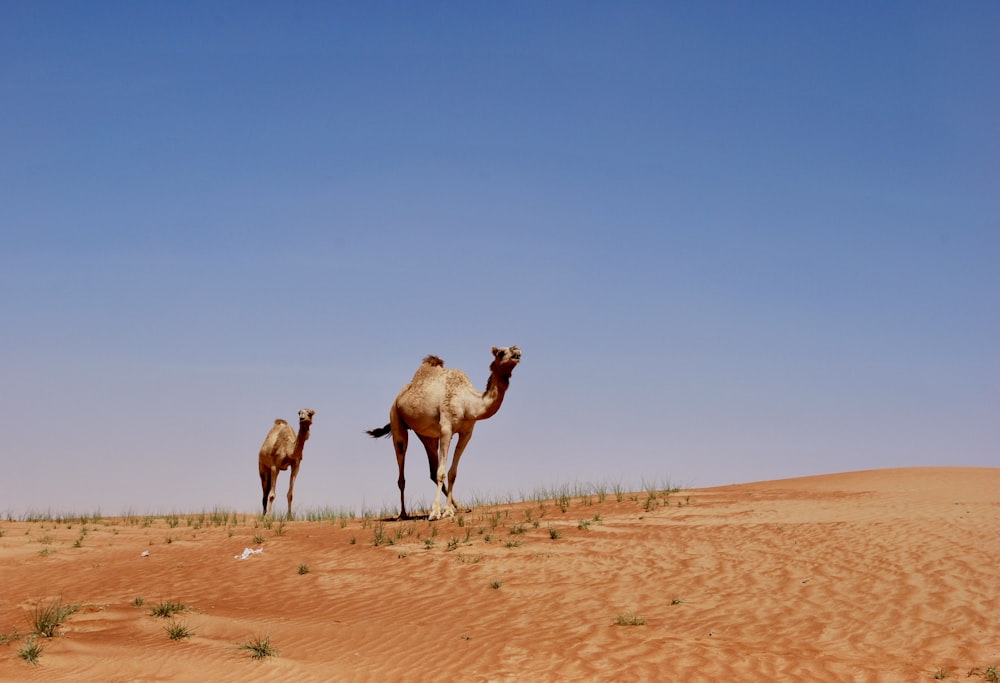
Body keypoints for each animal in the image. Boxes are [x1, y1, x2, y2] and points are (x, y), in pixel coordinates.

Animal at [370, 344, 524, 520]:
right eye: (501, 353)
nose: (517, 351)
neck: (467, 403)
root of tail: (398, 397)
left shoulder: (466, 433)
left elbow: (452, 473)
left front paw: (449, 510)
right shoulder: (446, 429)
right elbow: (442, 473)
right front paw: (435, 512)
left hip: (426, 435)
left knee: (431, 469)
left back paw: (461, 507)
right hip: (396, 420)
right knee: (402, 470)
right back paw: (403, 514)